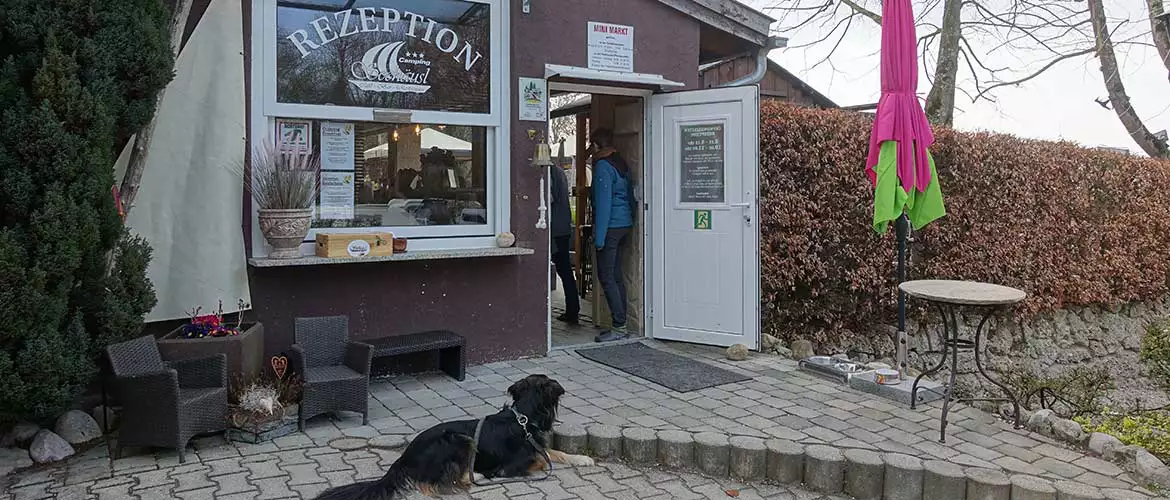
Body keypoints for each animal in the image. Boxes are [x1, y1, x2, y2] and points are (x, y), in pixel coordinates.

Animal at [308, 374, 589, 500]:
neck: (523, 418)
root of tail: (404, 458)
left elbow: (555, 452)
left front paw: (583, 459)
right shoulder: (512, 467)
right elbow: (542, 459)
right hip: (459, 439)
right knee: (433, 484)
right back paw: (470, 480)